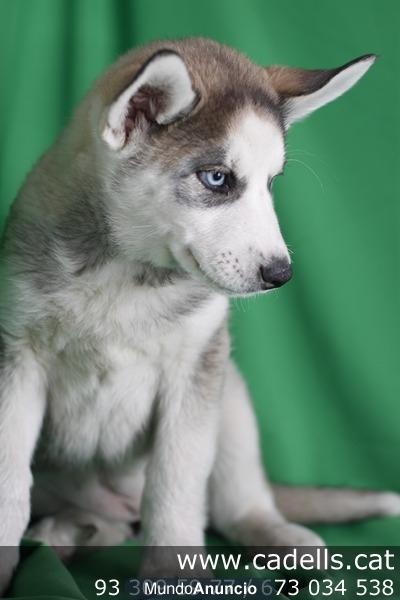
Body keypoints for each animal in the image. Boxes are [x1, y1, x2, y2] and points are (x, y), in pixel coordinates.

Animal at [0, 38, 400, 584]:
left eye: (271, 183)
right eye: (217, 179)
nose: (281, 274)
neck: (125, 275)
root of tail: (117, 504)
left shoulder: (195, 366)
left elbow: (176, 484)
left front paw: (175, 575)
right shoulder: (17, 358)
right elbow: (9, 484)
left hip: (231, 395)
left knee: (236, 505)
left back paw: (280, 536)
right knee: (105, 523)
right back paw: (65, 534)